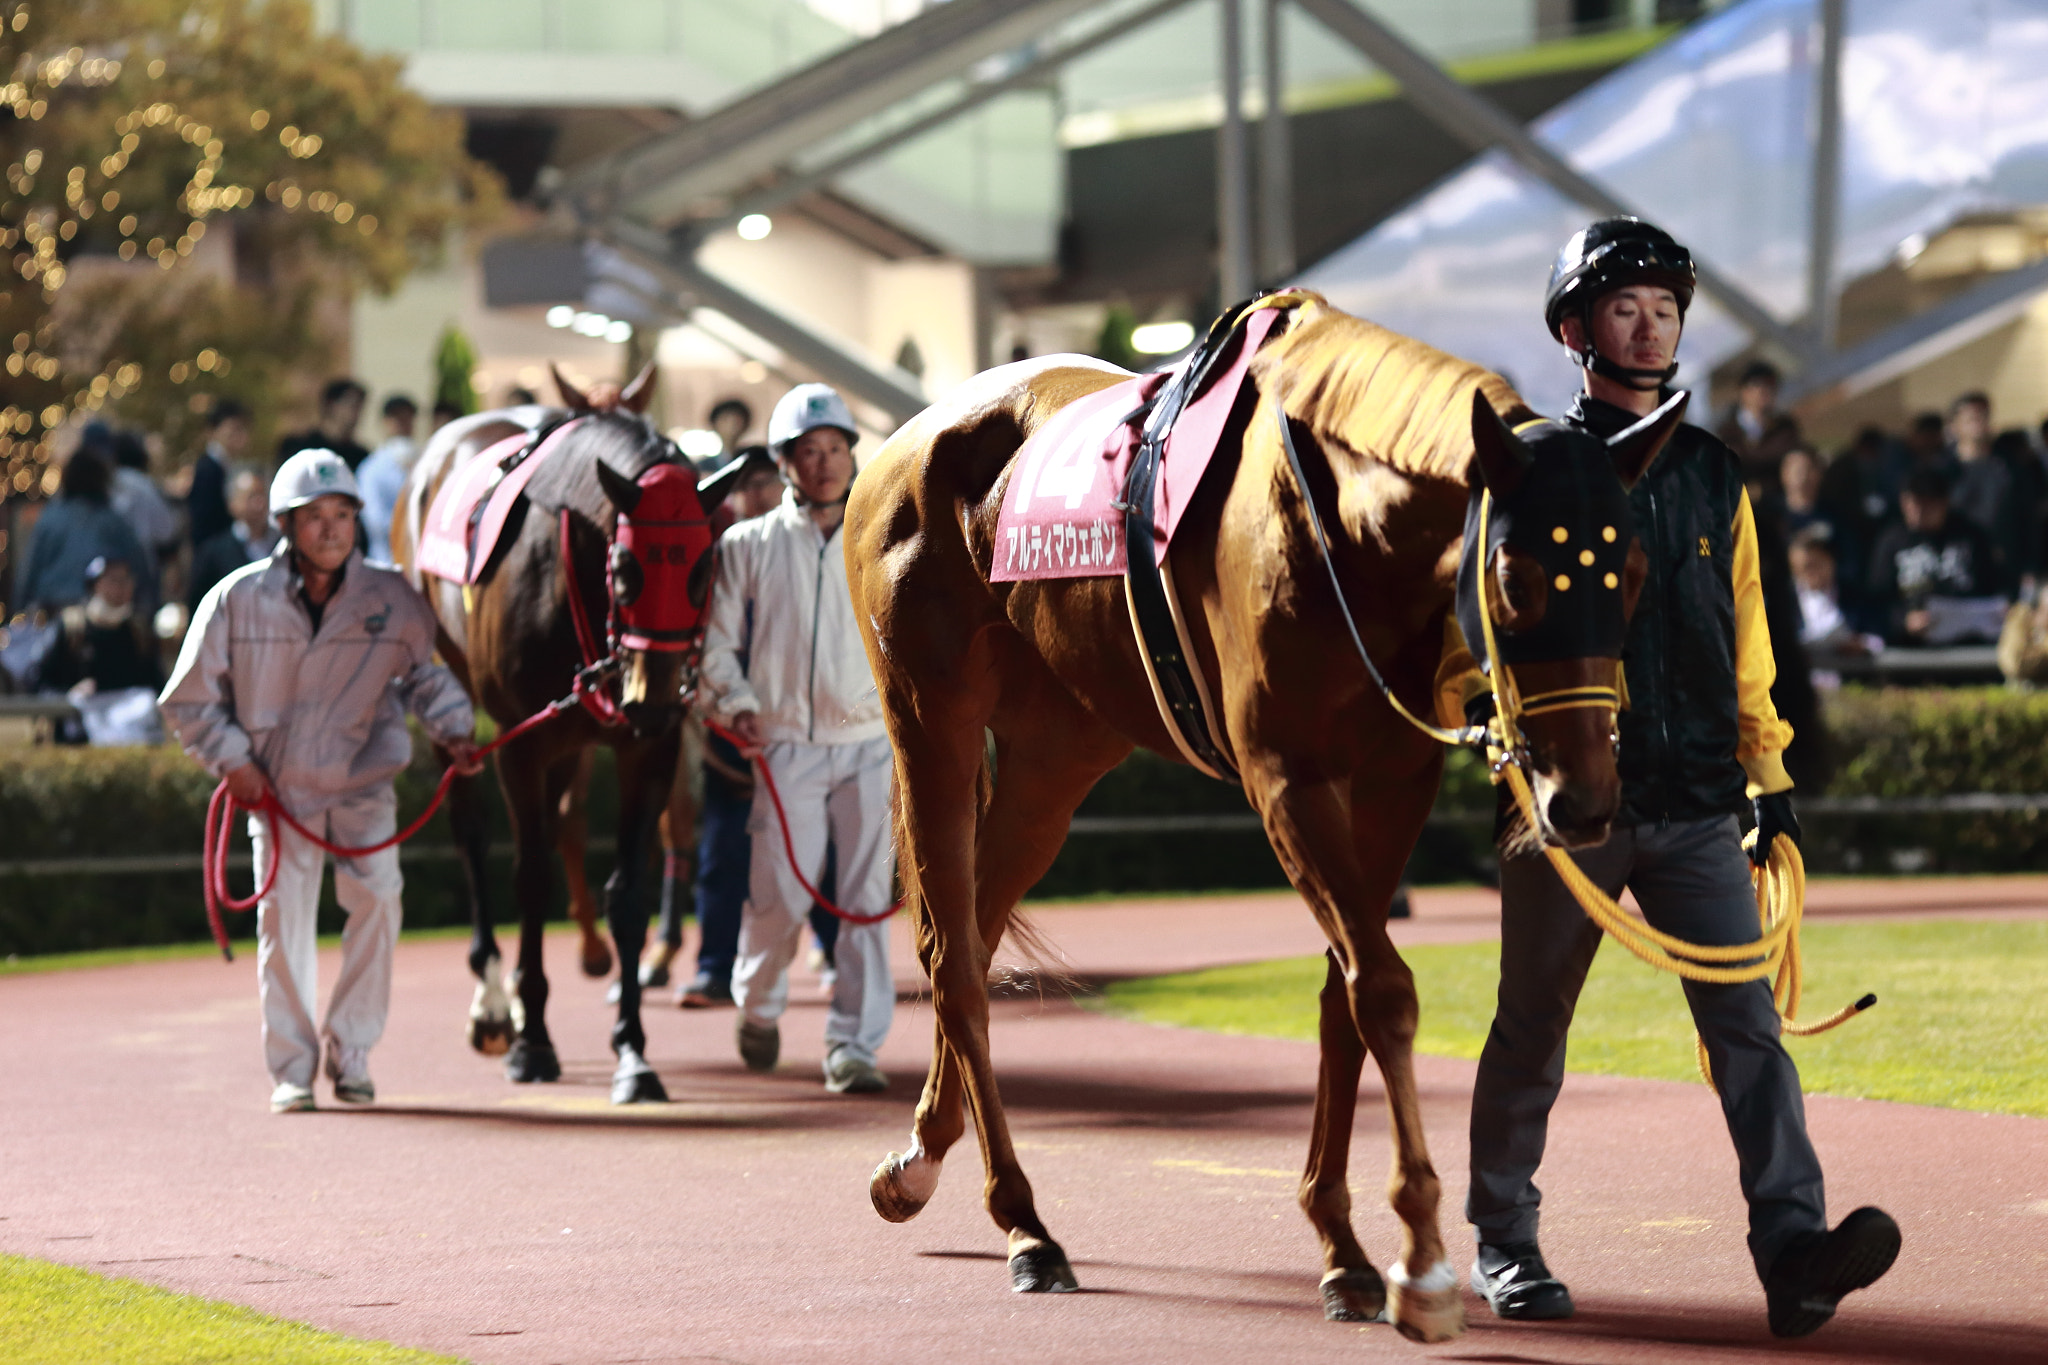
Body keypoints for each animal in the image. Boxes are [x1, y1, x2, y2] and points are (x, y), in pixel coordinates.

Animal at [395, 368, 733, 1105]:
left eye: (702, 569)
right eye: (628, 570)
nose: (653, 697)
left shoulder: (647, 748)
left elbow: (626, 892)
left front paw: (632, 1050)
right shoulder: (522, 743)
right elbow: (527, 877)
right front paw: (533, 1042)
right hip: (447, 689)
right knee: (470, 831)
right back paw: (497, 1004)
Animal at [835, 296, 1679, 1334]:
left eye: (1631, 571)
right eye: (1516, 576)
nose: (1587, 799)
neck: (1338, 530)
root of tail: (898, 445)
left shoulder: (1391, 783)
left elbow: (1344, 996)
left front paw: (1342, 1246)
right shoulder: (1288, 782)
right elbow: (1382, 988)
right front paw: (1420, 1262)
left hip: (1054, 753)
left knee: (980, 933)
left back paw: (921, 1158)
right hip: (932, 721)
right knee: (952, 954)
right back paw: (1024, 1224)